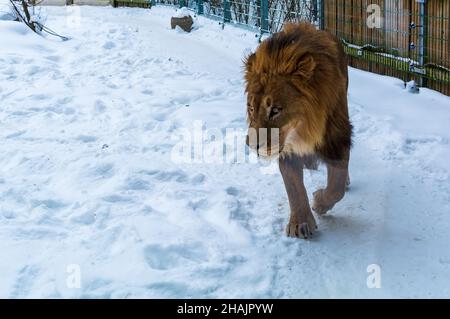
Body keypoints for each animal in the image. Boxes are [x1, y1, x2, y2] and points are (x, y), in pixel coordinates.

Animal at [246, 23, 352, 240]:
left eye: (275, 110)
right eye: (251, 108)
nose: (251, 145)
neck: (303, 131)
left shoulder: (337, 138)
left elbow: (336, 187)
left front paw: (319, 202)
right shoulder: (287, 149)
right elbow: (294, 188)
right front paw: (300, 223)